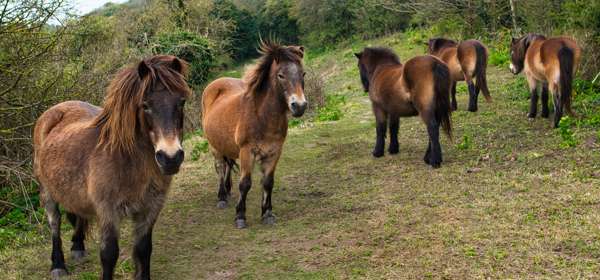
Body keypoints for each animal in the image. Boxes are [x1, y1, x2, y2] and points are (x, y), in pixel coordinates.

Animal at [33, 55, 192, 280]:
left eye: (181, 102)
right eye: (145, 105)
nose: (170, 158)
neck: (126, 161)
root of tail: (54, 111)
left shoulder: (150, 208)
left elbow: (144, 249)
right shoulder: (108, 212)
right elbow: (109, 255)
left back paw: (78, 247)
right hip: (47, 191)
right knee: (54, 222)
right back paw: (58, 265)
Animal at [203, 42, 308, 230]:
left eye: (303, 74)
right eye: (281, 75)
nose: (299, 106)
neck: (262, 116)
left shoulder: (274, 152)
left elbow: (268, 182)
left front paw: (267, 214)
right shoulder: (247, 152)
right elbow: (245, 184)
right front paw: (240, 216)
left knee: (227, 166)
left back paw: (227, 192)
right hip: (214, 147)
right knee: (220, 168)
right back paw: (222, 197)